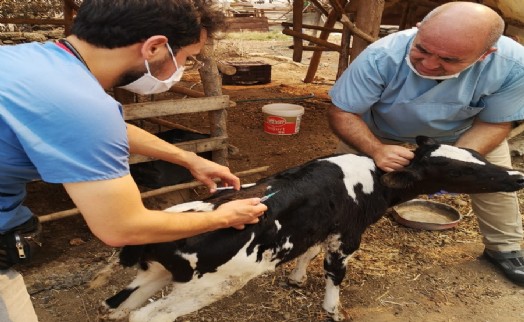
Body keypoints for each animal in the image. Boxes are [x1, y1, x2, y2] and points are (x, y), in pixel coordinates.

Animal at [100, 136, 524, 322]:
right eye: (459, 169)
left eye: (477, 155)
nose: (517, 176)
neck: (372, 179)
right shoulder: (347, 236)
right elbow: (334, 273)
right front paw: (332, 309)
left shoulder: (321, 225)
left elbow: (308, 251)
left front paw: (296, 279)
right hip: (209, 285)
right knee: (149, 317)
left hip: (152, 275)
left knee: (120, 307)